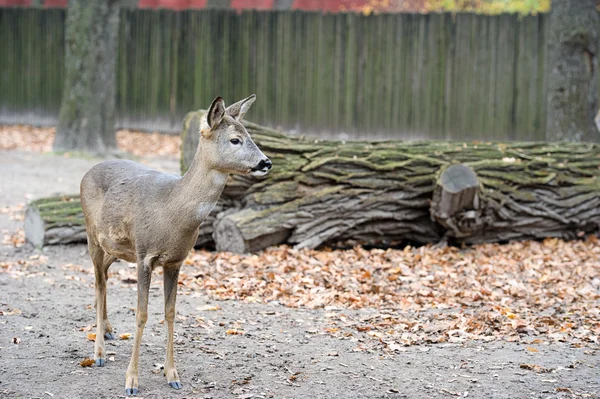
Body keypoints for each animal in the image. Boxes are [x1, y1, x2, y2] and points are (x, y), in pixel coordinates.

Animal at [79, 94, 272, 396]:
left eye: (249, 134)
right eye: (235, 139)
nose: (266, 162)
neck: (171, 210)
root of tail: (86, 173)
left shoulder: (175, 261)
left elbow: (170, 314)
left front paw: (172, 375)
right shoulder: (144, 255)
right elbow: (142, 315)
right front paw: (131, 382)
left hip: (117, 248)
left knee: (104, 279)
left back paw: (109, 330)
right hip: (92, 236)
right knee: (98, 283)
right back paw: (98, 352)